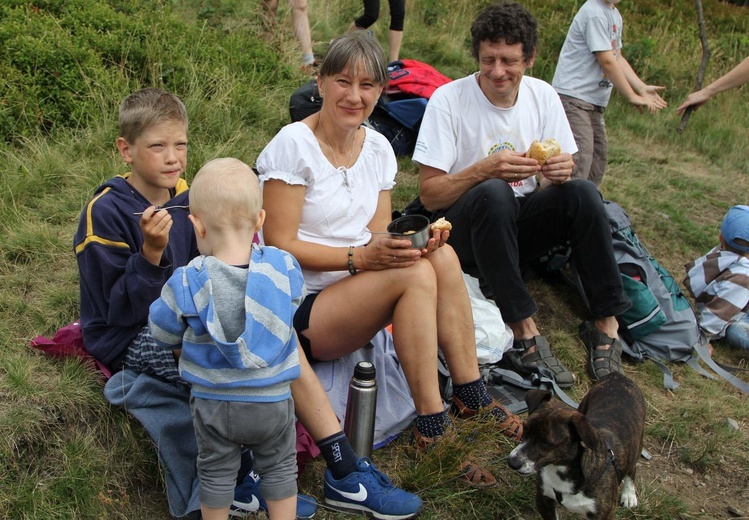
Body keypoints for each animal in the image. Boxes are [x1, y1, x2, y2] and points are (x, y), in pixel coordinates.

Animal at [508, 372, 644, 516]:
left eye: (546, 442)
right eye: (524, 428)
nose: (512, 462)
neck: (561, 469)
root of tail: (618, 375)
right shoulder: (543, 500)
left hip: (637, 445)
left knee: (633, 467)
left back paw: (629, 494)